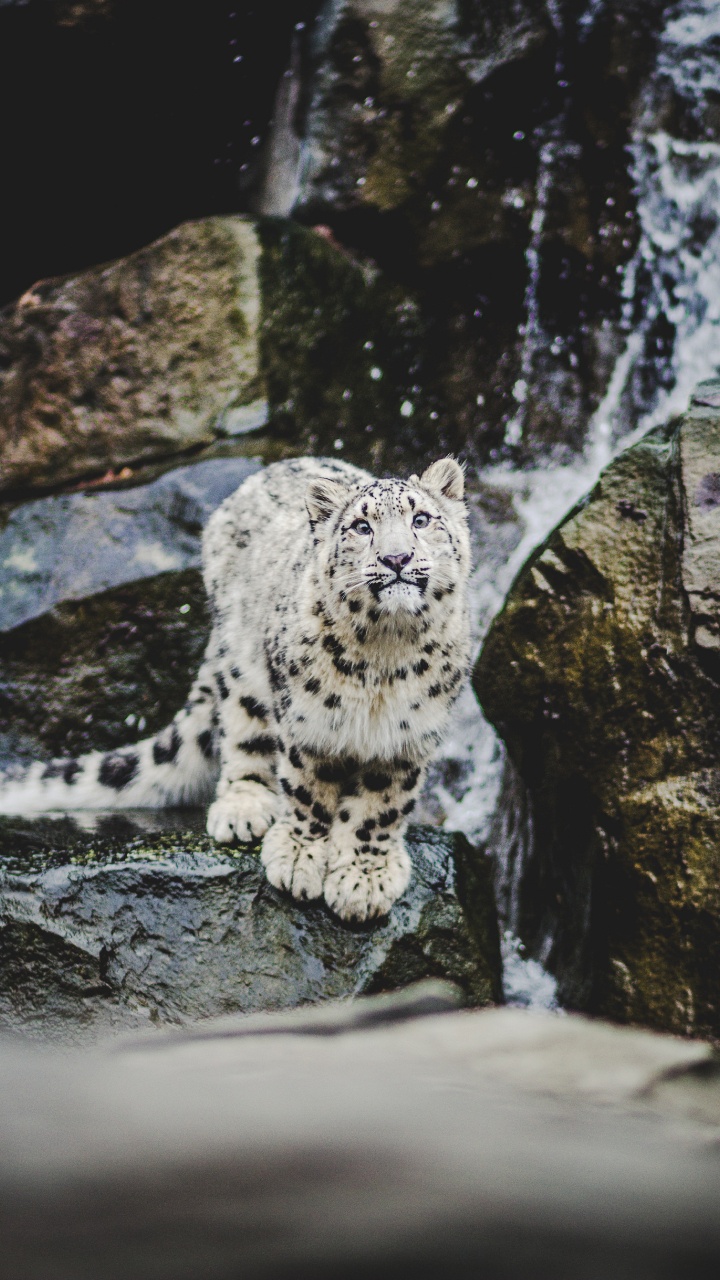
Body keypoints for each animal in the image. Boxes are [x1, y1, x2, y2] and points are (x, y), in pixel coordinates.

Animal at [0, 455, 468, 916]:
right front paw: (299, 857)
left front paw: (365, 879)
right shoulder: (307, 719)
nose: (397, 558)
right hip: (245, 671)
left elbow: (381, 806)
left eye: (421, 519)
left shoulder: (408, 736)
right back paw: (243, 808)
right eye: (361, 526)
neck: (385, 656)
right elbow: (308, 787)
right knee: (243, 735)